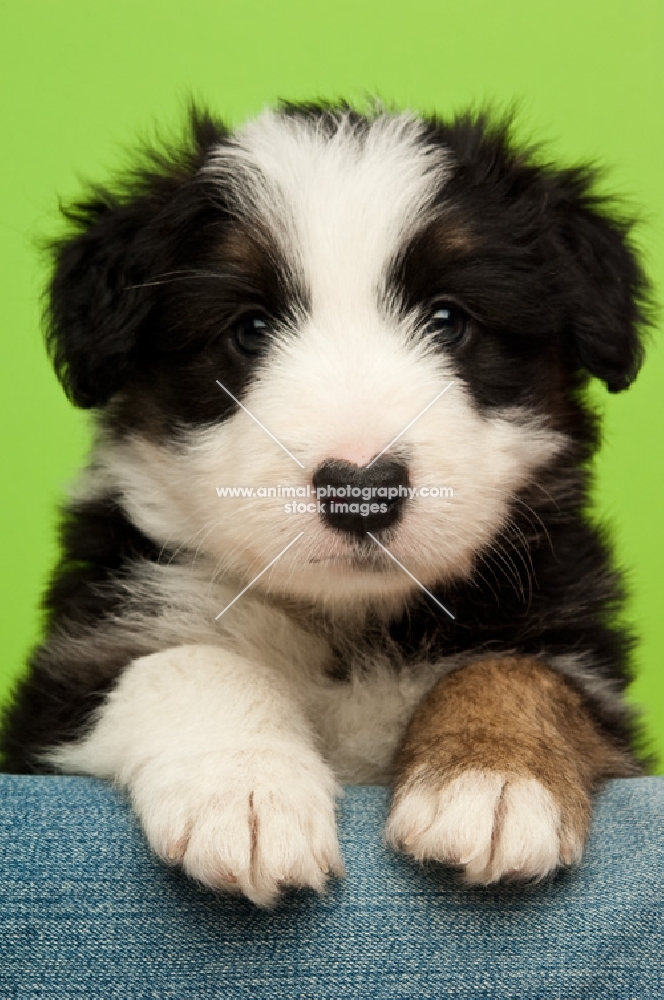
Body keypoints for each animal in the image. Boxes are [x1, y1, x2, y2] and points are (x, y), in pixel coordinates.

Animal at [0, 103, 652, 908]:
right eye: (249, 328)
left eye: (449, 319)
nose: (361, 489)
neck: (347, 625)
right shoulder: (67, 688)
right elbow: (189, 660)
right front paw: (246, 790)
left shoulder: (583, 659)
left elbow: (521, 673)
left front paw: (493, 780)